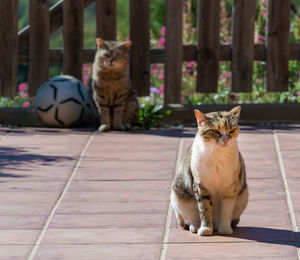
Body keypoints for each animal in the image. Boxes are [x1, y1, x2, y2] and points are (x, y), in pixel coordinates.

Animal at [171, 105, 248, 236]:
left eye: (231, 131)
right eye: (215, 131)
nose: (226, 140)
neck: (217, 154)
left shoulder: (230, 187)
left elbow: (227, 210)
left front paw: (225, 228)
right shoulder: (200, 186)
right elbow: (204, 209)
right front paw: (206, 229)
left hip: (244, 196)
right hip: (178, 196)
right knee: (188, 218)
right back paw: (196, 226)